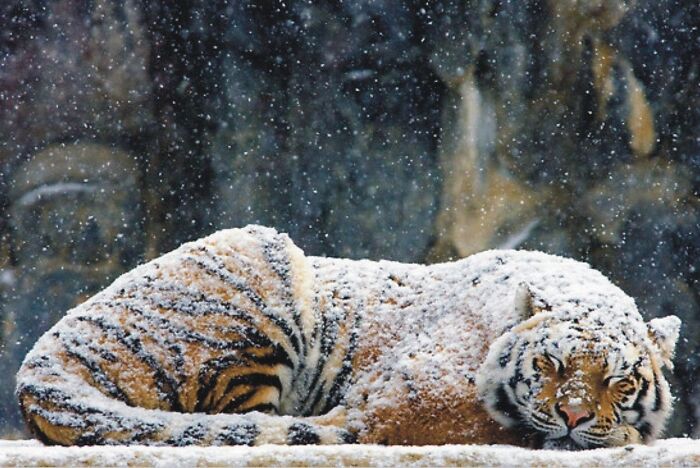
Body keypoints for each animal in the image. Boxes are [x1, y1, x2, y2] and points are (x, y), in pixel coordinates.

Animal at [15, 225, 680, 449]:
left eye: (617, 380)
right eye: (549, 366)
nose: (572, 416)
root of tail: (41, 360)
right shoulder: (401, 400)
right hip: (262, 266)